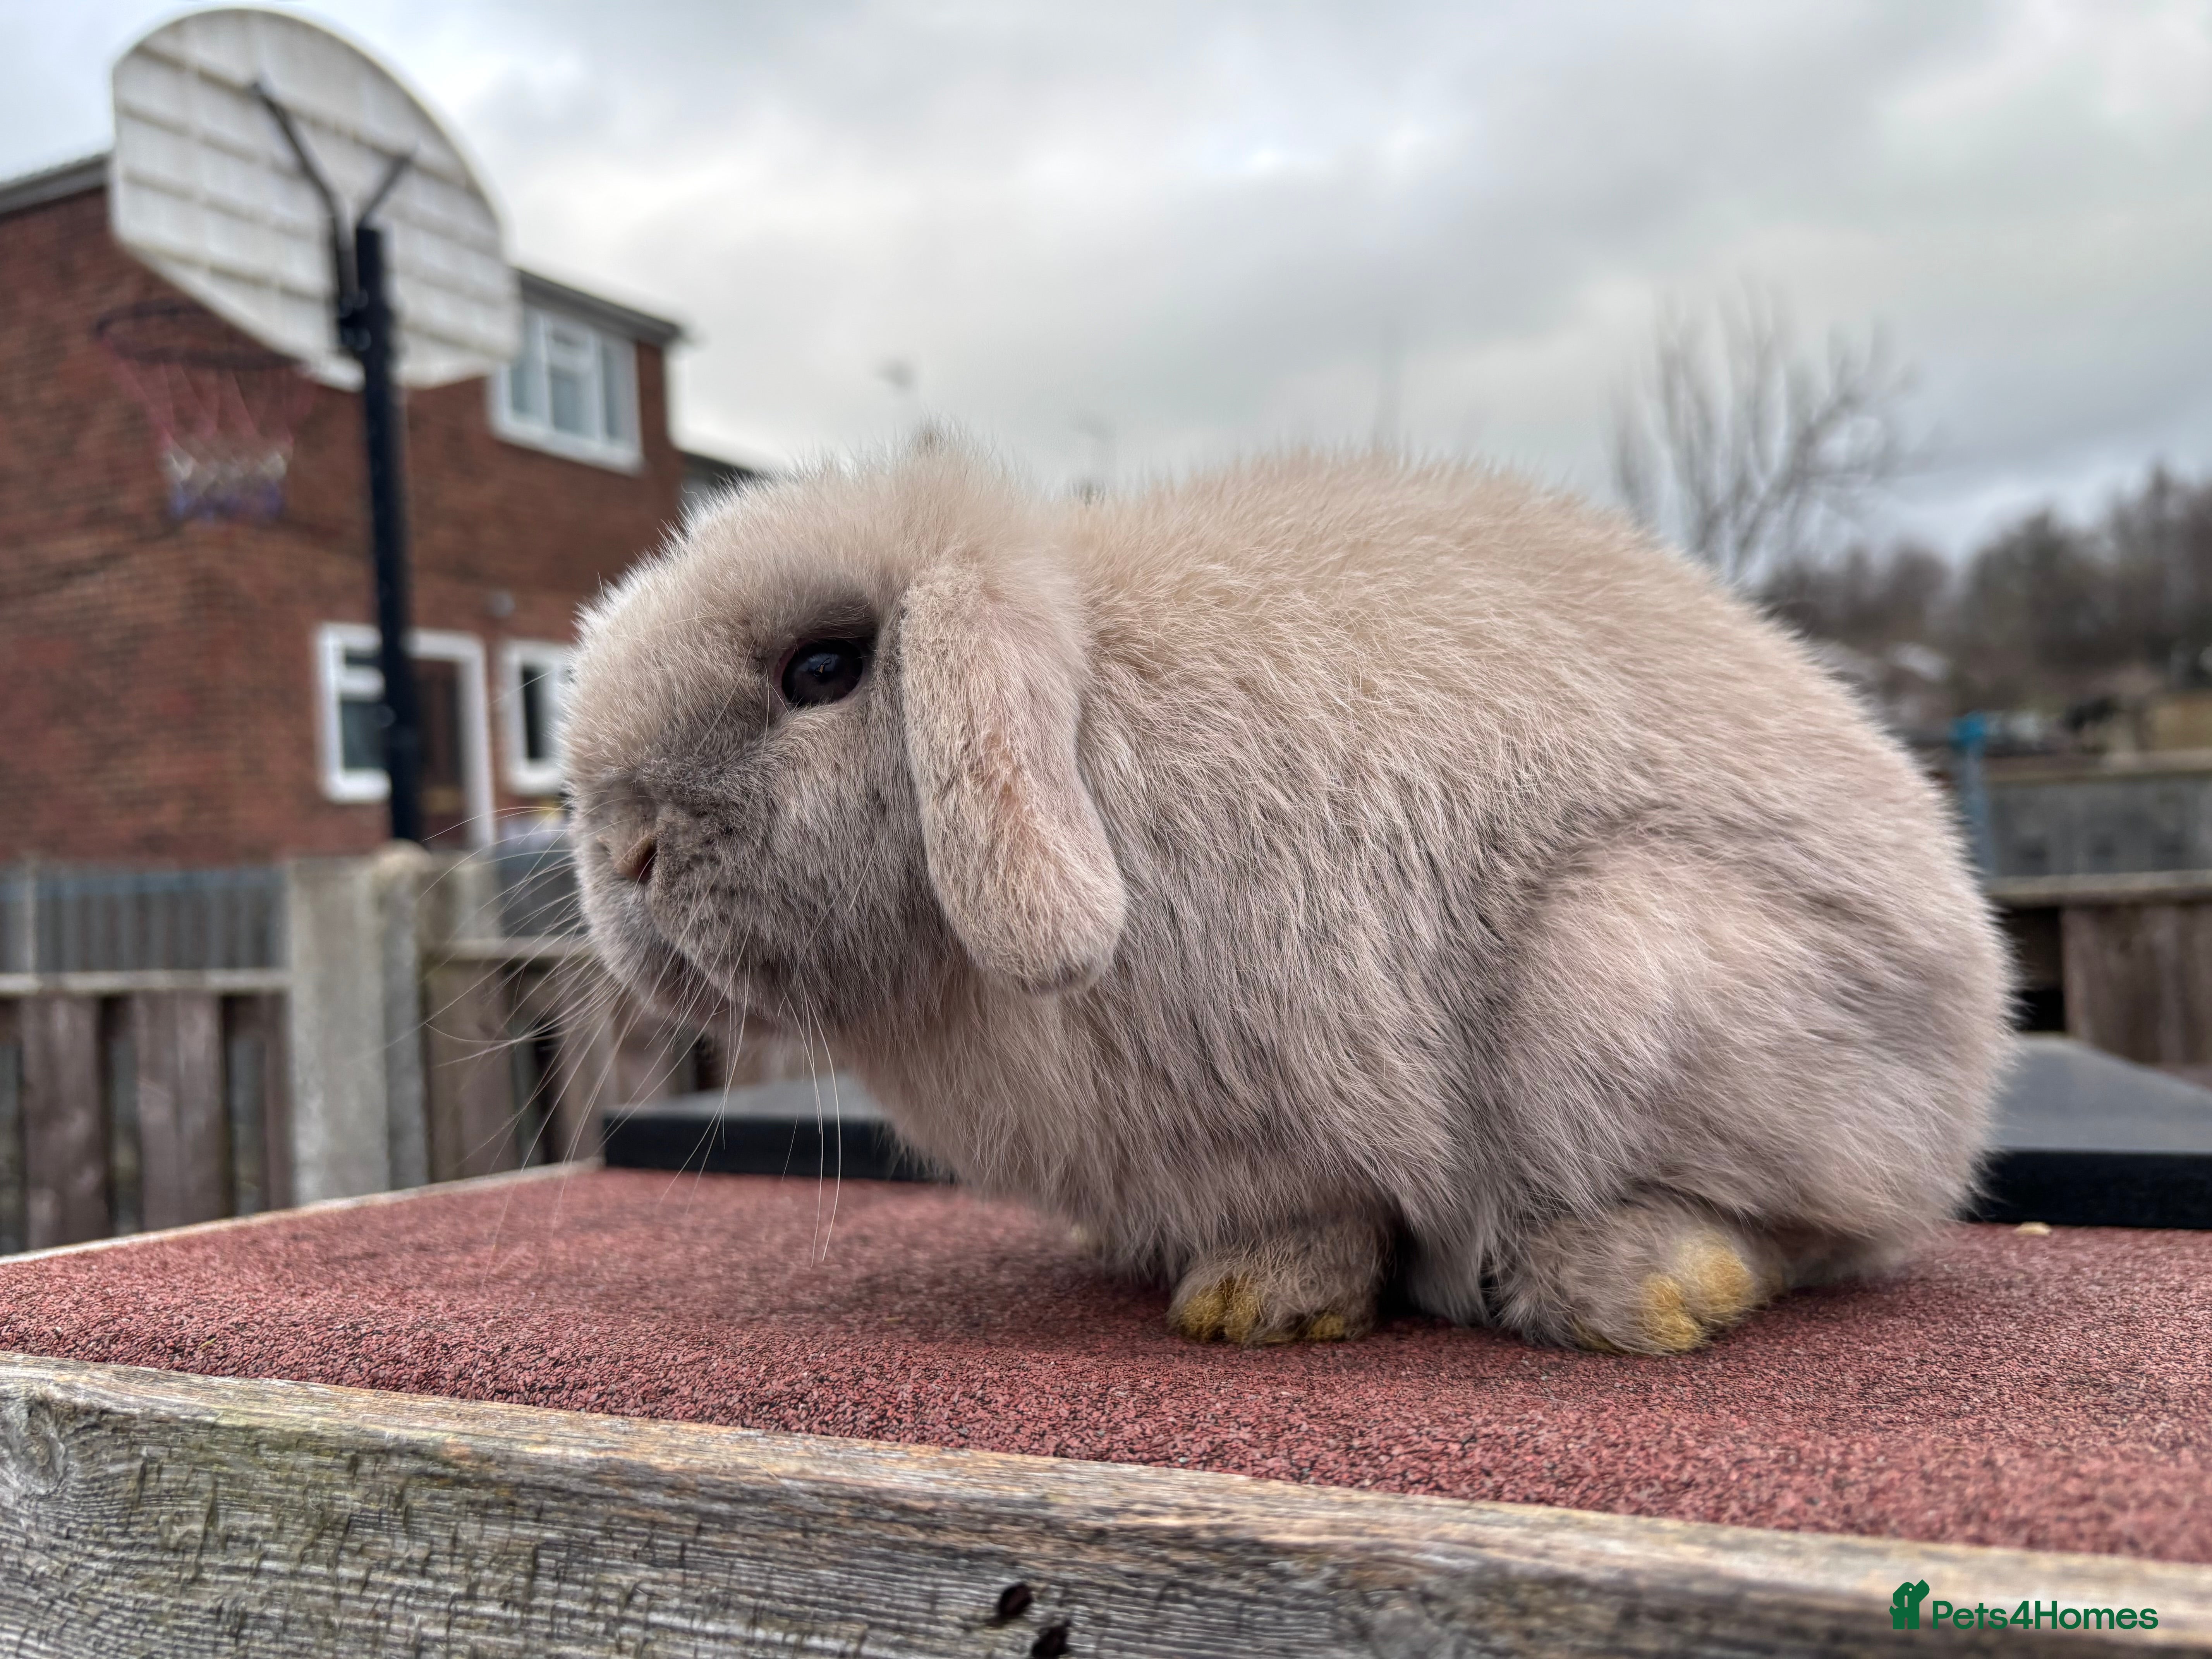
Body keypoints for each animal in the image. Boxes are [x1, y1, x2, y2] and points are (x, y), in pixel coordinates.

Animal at [564, 443, 2009, 1354]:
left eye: (824, 669)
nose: (621, 844)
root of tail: (1970, 1037)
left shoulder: (1294, 1104)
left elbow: (1319, 1211)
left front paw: (1253, 1305)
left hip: (1622, 970)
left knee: (1811, 1233)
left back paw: (1639, 1286)